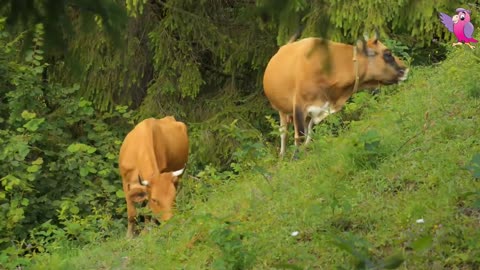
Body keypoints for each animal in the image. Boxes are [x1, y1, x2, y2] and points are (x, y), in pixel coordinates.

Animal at [262, 29, 408, 157]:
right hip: (282, 110)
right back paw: (282, 156)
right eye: (388, 54)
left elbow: (310, 133)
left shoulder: (320, 109)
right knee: (283, 132)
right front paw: (295, 159)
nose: (405, 69)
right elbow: (300, 136)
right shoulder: (299, 106)